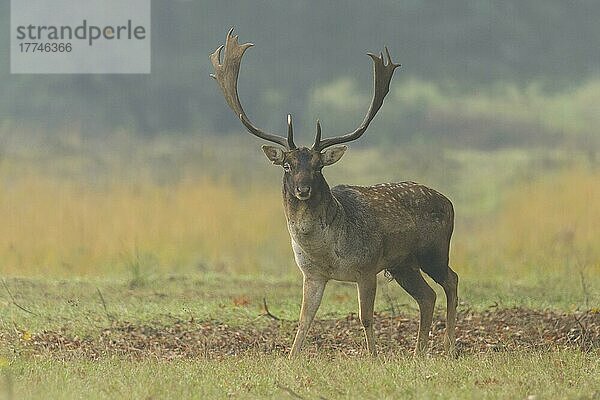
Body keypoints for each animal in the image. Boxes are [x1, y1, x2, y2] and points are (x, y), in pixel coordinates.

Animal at [209, 29, 458, 358]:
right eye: (287, 165)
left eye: (318, 167)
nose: (303, 189)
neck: (327, 251)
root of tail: (449, 202)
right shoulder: (312, 274)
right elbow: (304, 319)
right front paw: (290, 358)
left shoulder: (366, 267)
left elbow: (366, 318)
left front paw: (373, 357)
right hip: (402, 263)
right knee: (427, 296)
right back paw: (419, 352)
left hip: (433, 250)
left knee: (451, 281)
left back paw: (450, 346)